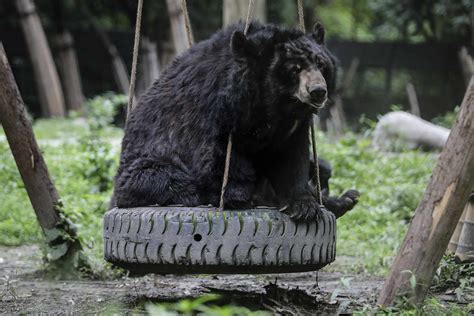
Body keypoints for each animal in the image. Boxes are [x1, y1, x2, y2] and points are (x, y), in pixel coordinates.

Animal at [114, 21, 360, 220]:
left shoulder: (293, 128)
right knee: (169, 179)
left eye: (321, 65)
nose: (318, 91)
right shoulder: (215, 112)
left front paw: (303, 204)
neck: (275, 104)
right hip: (143, 170)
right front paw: (238, 194)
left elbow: (293, 158)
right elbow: (218, 157)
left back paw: (343, 199)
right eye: (294, 69)